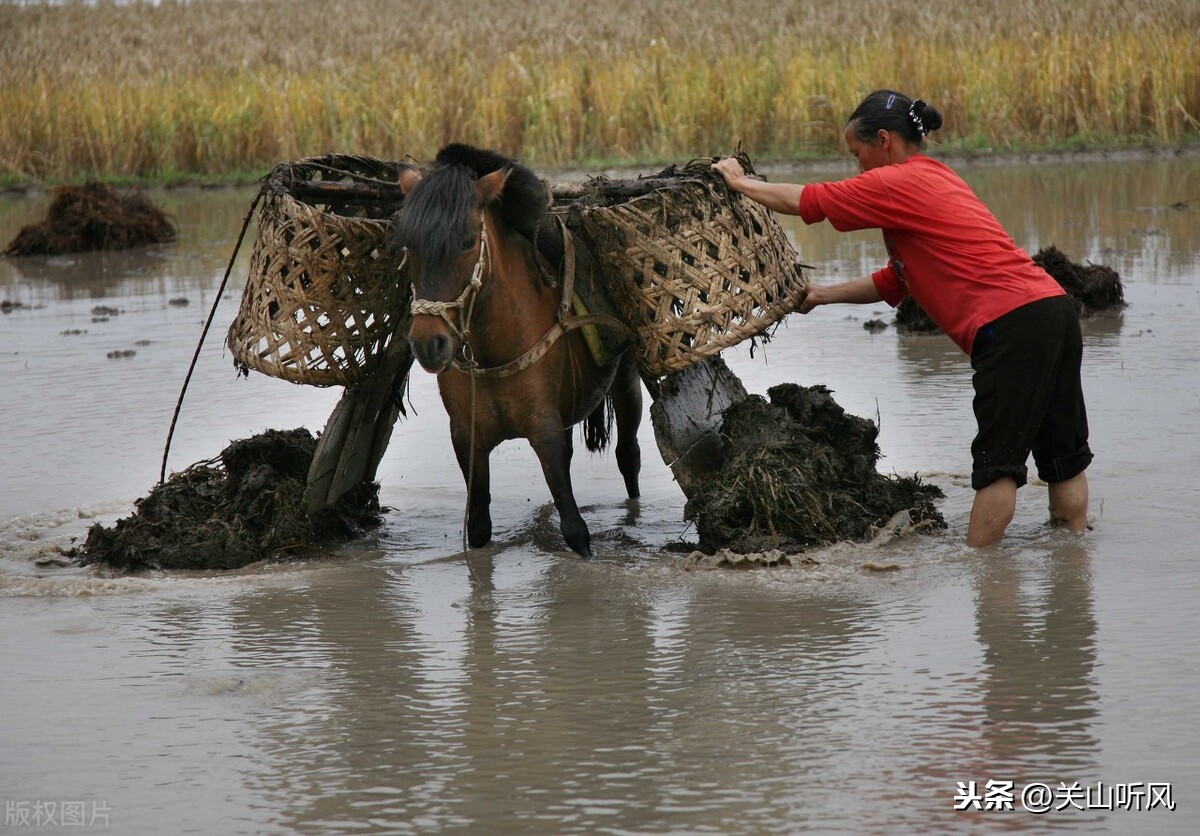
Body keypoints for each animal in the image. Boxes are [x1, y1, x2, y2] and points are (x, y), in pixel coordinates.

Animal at [393, 145, 643, 556]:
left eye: (467, 241)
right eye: (409, 245)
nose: (429, 344)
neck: (495, 348)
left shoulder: (544, 430)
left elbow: (575, 530)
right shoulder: (467, 438)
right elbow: (479, 528)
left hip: (625, 378)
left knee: (628, 456)